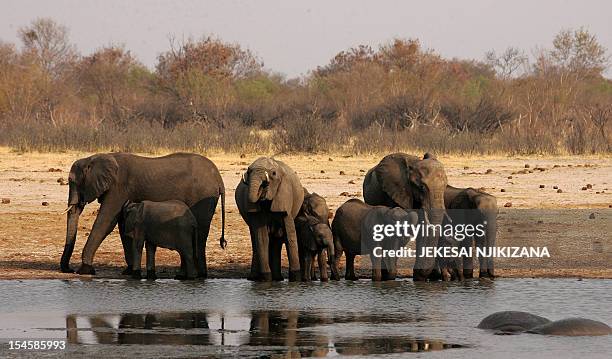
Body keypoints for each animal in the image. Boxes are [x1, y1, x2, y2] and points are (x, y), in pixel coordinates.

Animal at [60, 153, 225, 278]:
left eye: (71, 181)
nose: (69, 269)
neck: (95, 157)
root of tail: (218, 177)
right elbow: (123, 227)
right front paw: (128, 271)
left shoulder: (118, 188)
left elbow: (105, 222)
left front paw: (85, 270)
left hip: (202, 195)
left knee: (200, 233)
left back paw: (197, 275)